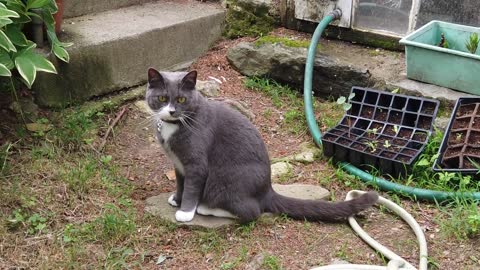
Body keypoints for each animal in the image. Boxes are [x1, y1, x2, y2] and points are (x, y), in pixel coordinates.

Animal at [146, 68, 378, 224]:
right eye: (162, 97)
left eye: (181, 99)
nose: (171, 111)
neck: (173, 126)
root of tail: (267, 190)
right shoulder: (179, 165)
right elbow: (181, 184)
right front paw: (176, 199)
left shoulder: (196, 164)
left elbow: (192, 188)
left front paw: (186, 212)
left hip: (225, 180)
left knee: (252, 211)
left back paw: (206, 209)